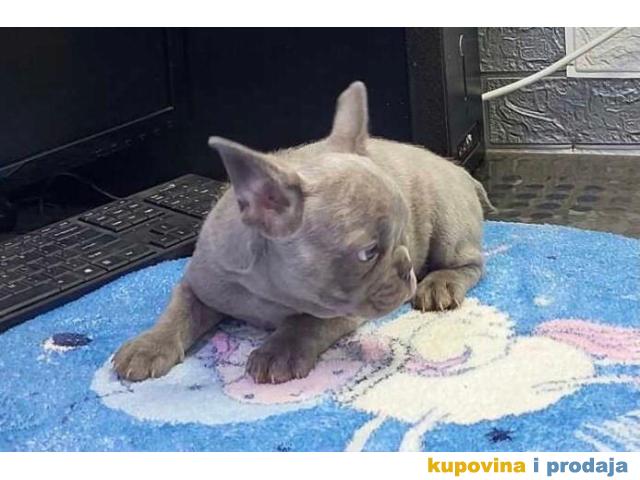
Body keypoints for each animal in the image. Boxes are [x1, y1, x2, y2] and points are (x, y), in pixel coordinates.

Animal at [113, 81, 493, 384]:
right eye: (367, 253)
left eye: (402, 234)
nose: (407, 268)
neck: (266, 290)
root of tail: (458, 169)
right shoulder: (199, 283)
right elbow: (177, 312)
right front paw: (149, 345)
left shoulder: (339, 309)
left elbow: (305, 322)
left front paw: (278, 352)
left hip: (448, 225)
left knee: (471, 264)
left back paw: (440, 284)